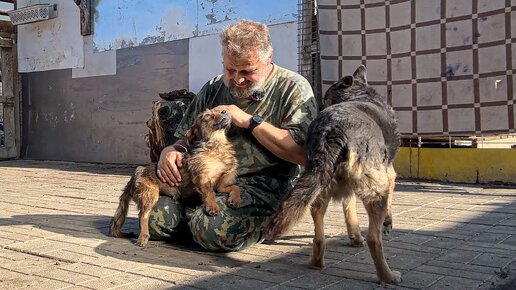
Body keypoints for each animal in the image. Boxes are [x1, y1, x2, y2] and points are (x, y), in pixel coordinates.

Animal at [109, 109, 242, 247]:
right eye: (208, 115)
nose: (225, 110)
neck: (216, 145)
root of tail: (136, 174)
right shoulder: (203, 177)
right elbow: (209, 192)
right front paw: (212, 206)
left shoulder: (221, 185)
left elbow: (235, 187)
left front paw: (235, 199)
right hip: (150, 194)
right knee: (143, 215)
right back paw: (143, 236)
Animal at [264, 65, 402, 284]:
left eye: (325, 96)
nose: (318, 106)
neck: (359, 93)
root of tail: (332, 130)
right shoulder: (388, 174)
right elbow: (389, 199)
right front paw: (387, 223)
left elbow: (349, 210)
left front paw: (354, 237)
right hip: (374, 191)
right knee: (374, 239)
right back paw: (388, 275)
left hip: (319, 185)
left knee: (319, 236)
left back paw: (316, 263)